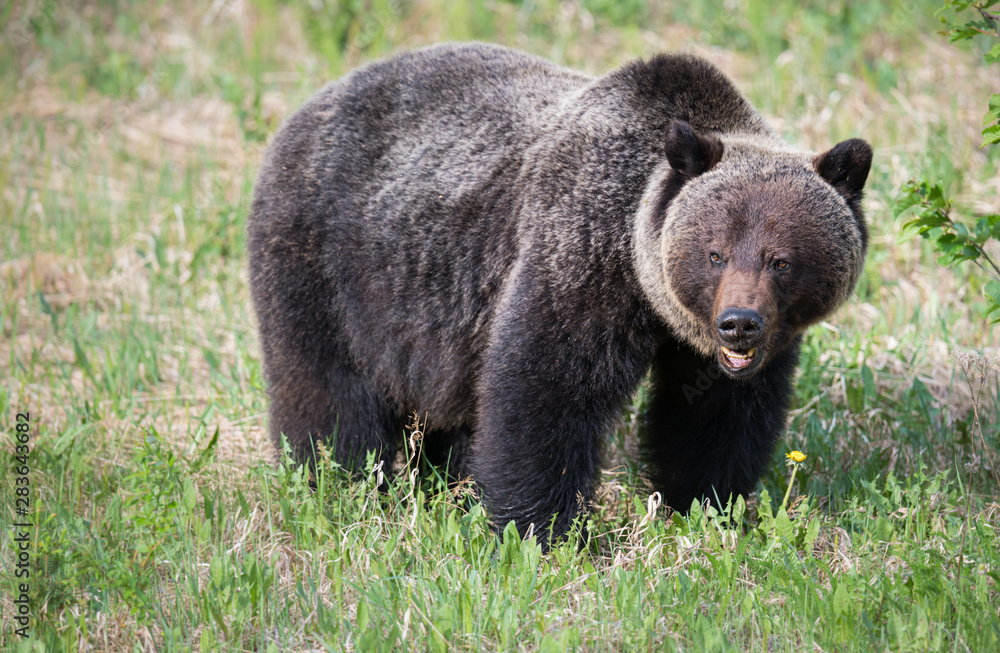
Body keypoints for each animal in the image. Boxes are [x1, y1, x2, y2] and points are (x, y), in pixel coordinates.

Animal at [248, 39, 868, 540]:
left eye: (781, 260)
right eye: (714, 253)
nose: (739, 322)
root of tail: (307, 106)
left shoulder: (720, 353)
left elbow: (714, 418)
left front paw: (710, 507)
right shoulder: (579, 260)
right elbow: (544, 392)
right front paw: (539, 530)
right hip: (329, 267)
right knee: (327, 393)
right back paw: (334, 486)